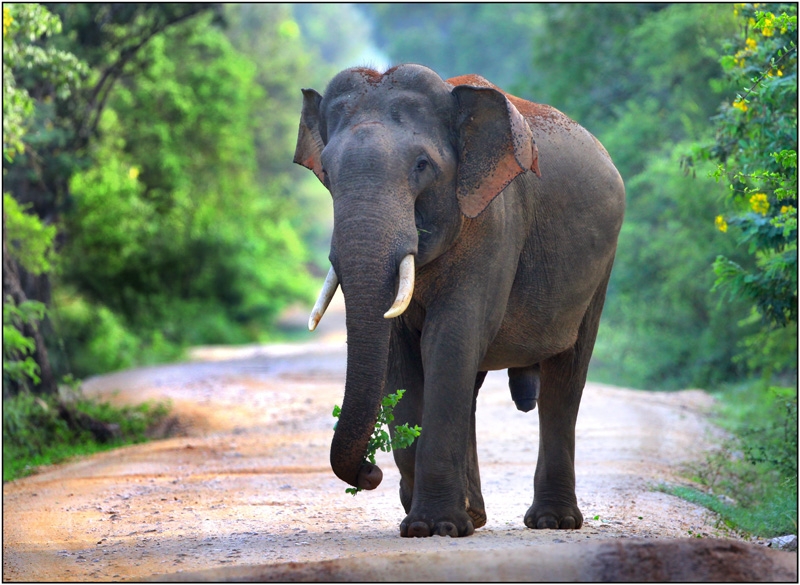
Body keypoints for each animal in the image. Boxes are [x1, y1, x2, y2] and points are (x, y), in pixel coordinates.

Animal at [294, 65, 624, 540]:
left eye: (422, 165)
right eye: (328, 173)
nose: (370, 474)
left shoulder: (492, 225)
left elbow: (449, 340)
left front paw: (435, 527)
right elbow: (402, 358)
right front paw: (425, 520)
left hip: (600, 267)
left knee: (565, 378)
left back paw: (553, 522)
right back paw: (477, 516)